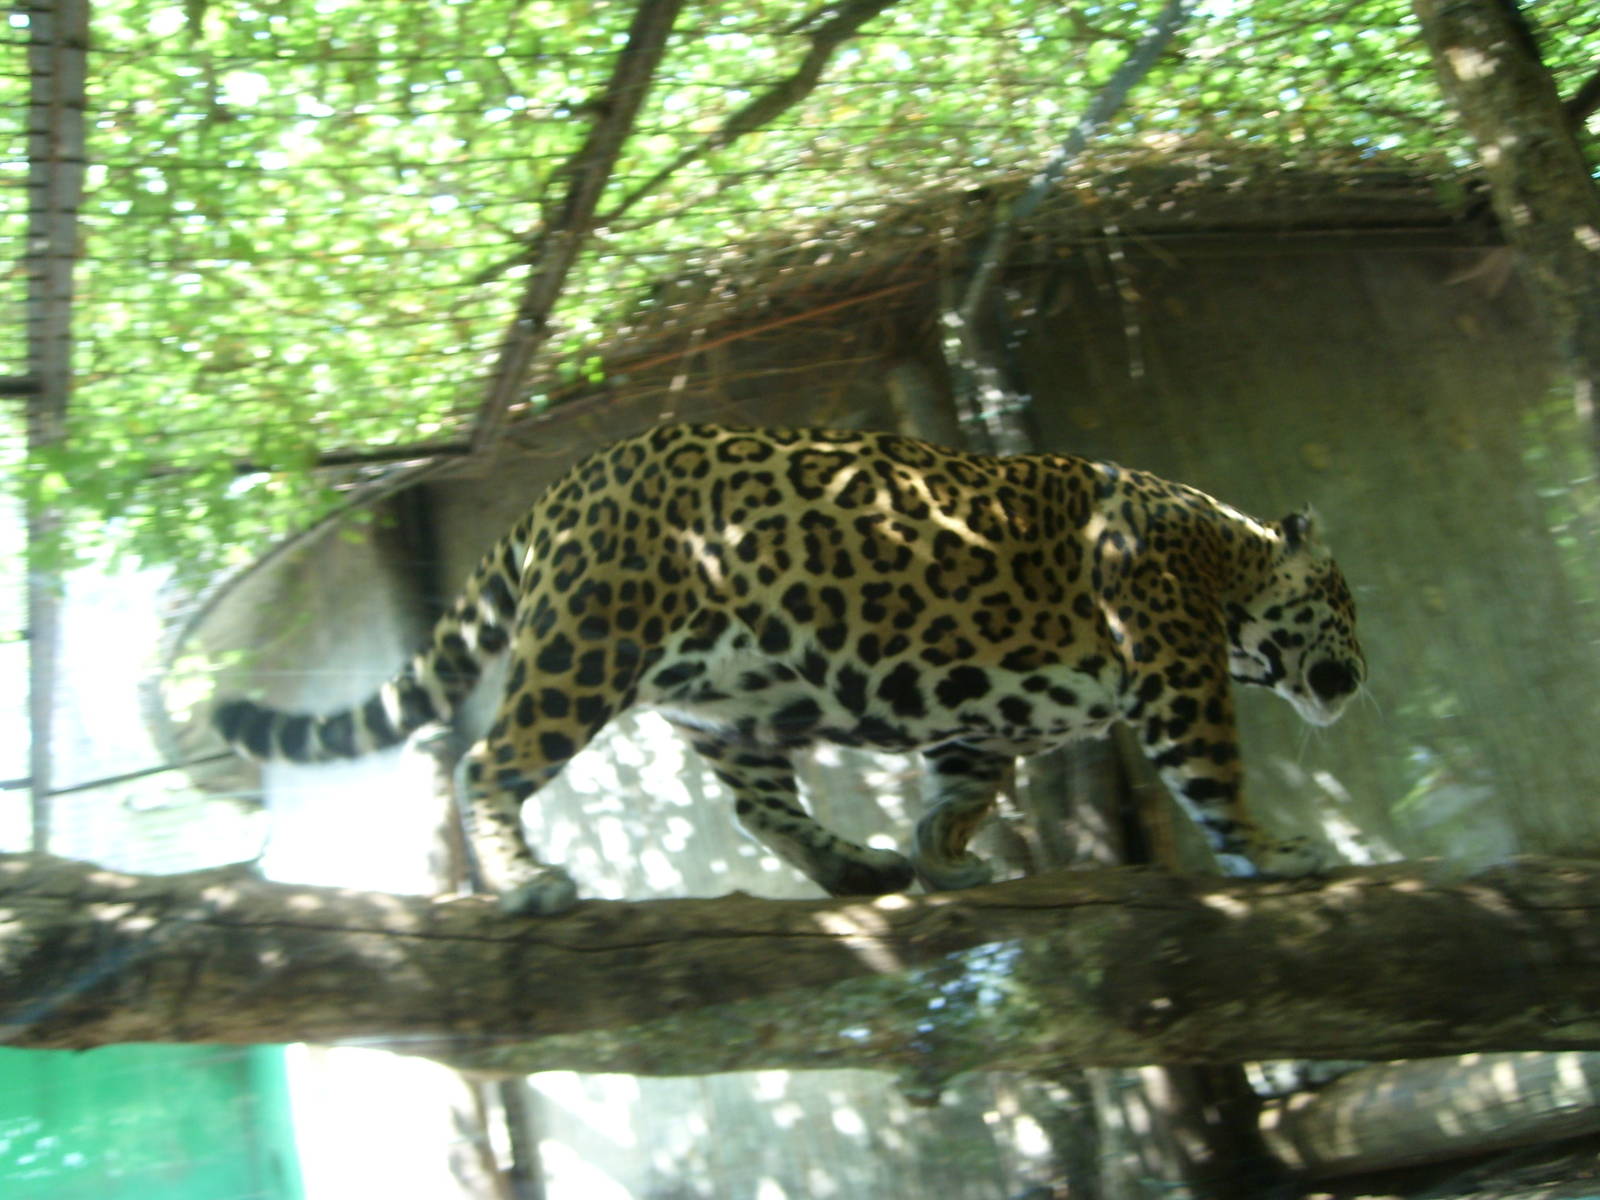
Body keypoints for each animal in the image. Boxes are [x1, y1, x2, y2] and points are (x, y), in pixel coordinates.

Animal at [215, 422, 1366, 916]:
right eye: (1347, 608)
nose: (1357, 678)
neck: (1230, 555)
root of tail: (565, 485)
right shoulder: (1176, 670)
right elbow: (1216, 777)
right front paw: (1279, 852)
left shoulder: (977, 721)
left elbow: (963, 789)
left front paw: (943, 861)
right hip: (589, 646)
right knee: (487, 762)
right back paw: (528, 881)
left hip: (734, 697)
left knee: (760, 805)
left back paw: (858, 869)